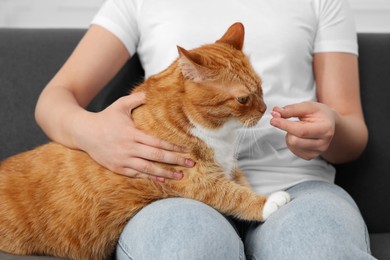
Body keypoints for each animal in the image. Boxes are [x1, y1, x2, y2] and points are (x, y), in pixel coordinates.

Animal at [0, 22, 288, 260]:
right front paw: (267, 203)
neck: (217, 133)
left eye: (261, 88)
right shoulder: (196, 180)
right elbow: (234, 194)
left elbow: (242, 183)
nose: (264, 109)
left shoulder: (229, 168)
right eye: (243, 99)